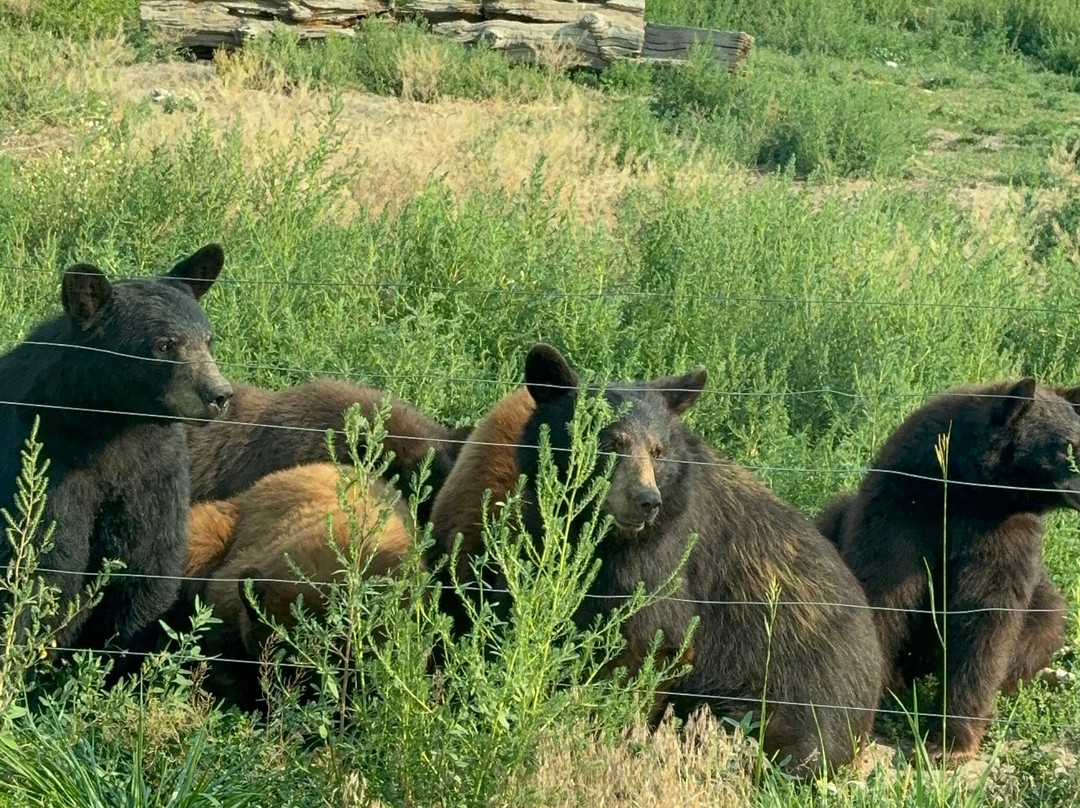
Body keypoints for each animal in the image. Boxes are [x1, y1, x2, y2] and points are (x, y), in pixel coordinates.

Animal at [0, 243, 233, 668]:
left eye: (208, 341)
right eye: (165, 345)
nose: (219, 395)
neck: (111, 424)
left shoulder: (153, 465)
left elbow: (148, 557)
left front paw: (118, 658)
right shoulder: (44, 454)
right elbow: (45, 556)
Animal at [429, 344, 884, 776]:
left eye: (657, 450)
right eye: (610, 441)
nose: (646, 501)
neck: (610, 540)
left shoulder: (665, 561)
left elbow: (651, 640)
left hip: (787, 689)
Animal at [815, 378, 1080, 761]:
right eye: (1068, 447)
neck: (966, 484)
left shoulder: (1000, 530)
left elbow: (985, 620)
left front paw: (949, 742)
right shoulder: (904, 504)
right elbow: (883, 592)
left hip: (1043, 601)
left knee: (1043, 624)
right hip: (837, 518)